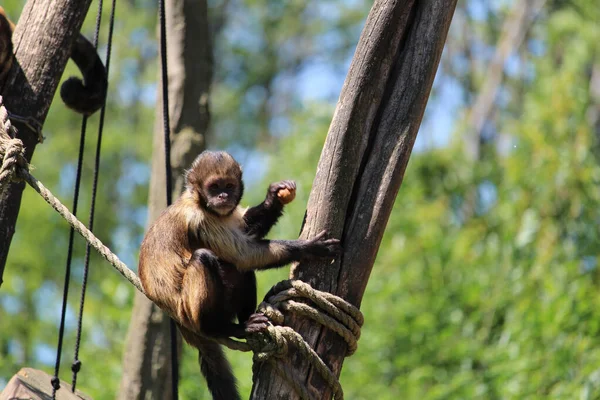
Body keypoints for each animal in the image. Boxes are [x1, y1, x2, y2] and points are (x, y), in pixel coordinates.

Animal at [138, 152, 340, 400]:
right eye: (214, 187)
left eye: (229, 186)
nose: (223, 196)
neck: (199, 202)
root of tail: (182, 324)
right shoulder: (199, 219)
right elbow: (244, 254)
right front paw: (309, 247)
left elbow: (245, 232)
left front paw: (273, 197)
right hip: (189, 311)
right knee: (206, 257)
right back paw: (223, 328)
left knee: (238, 269)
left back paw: (246, 322)